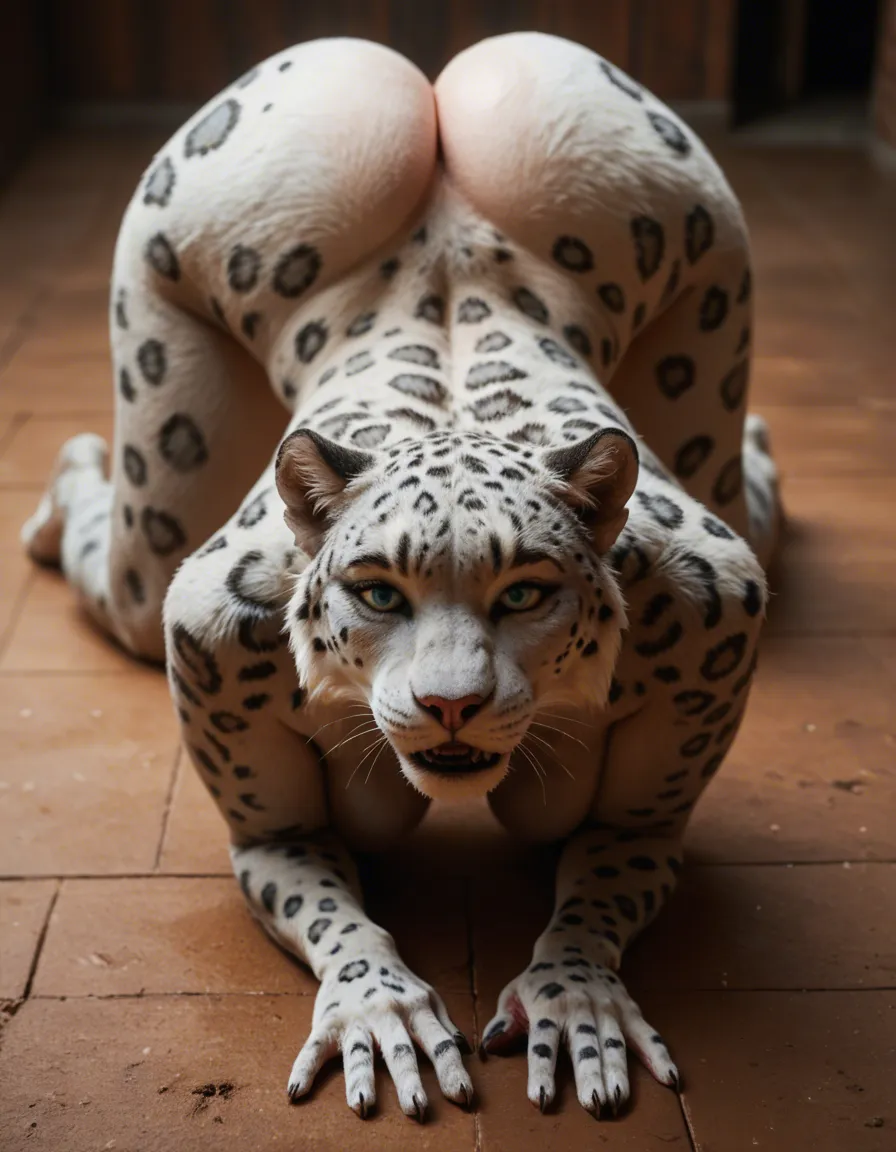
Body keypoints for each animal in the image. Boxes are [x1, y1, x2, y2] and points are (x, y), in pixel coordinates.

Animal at [22, 33, 780, 1123]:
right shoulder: (215, 657)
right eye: (379, 591)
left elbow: (613, 859)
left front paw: (573, 992)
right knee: (122, 564)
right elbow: (310, 884)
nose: (449, 704)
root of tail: (426, 82)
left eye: (523, 592)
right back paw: (58, 490)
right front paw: (375, 1002)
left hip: (695, 273)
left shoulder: (709, 621)